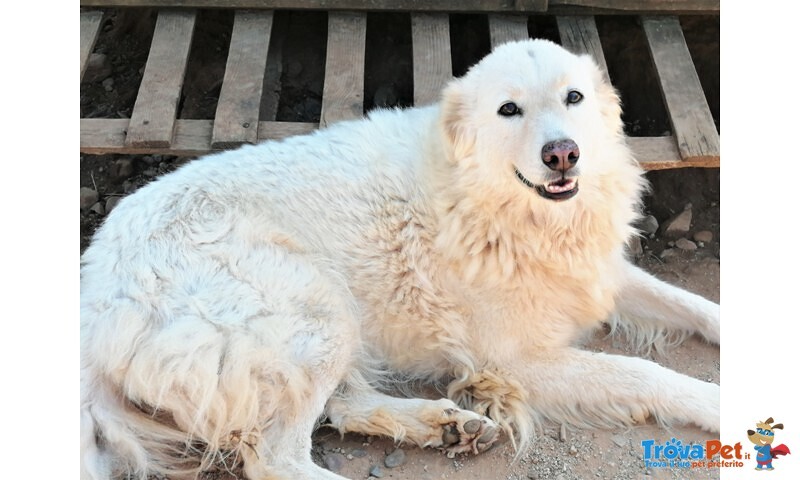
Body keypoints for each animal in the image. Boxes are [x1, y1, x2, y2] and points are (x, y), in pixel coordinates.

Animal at [79, 39, 720, 478]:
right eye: (508, 110)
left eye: (574, 97)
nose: (562, 153)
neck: (503, 208)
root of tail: (96, 290)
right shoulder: (516, 360)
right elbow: (647, 374)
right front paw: (717, 403)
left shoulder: (601, 274)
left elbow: (697, 305)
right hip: (316, 310)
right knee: (275, 457)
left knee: (341, 406)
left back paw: (447, 426)